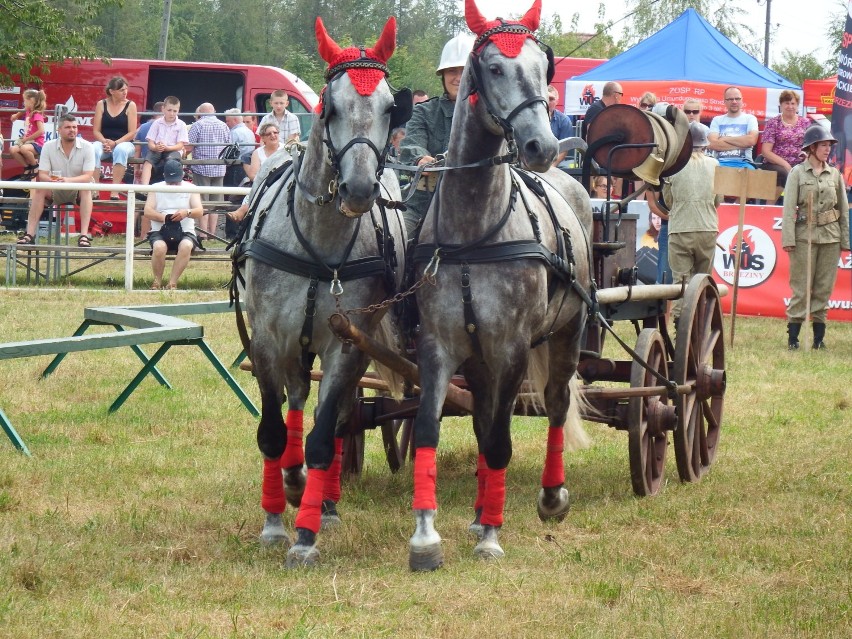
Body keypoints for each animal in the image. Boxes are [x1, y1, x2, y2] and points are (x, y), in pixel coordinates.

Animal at [231, 15, 408, 568]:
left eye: (390, 106)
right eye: (329, 106)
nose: (358, 190)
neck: (318, 244)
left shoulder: (347, 345)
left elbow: (325, 434)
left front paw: (307, 533)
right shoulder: (268, 340)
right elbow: (272, 431)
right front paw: (276, 515)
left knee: (338, 416)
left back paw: (325, 502)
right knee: (293, 399)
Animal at [406, 0, 592, 568]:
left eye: (542, 68)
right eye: (493, 68)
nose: (541, 145)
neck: (474, 230)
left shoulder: (511, 346)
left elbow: (502, 441)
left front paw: (491, 534)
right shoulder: (441, 344)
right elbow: (430, 428)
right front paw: (426, 534)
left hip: (567, 332)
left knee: (555, 402)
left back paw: (549, 497)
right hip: (480, 357)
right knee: (484, 415)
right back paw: (477, 509)